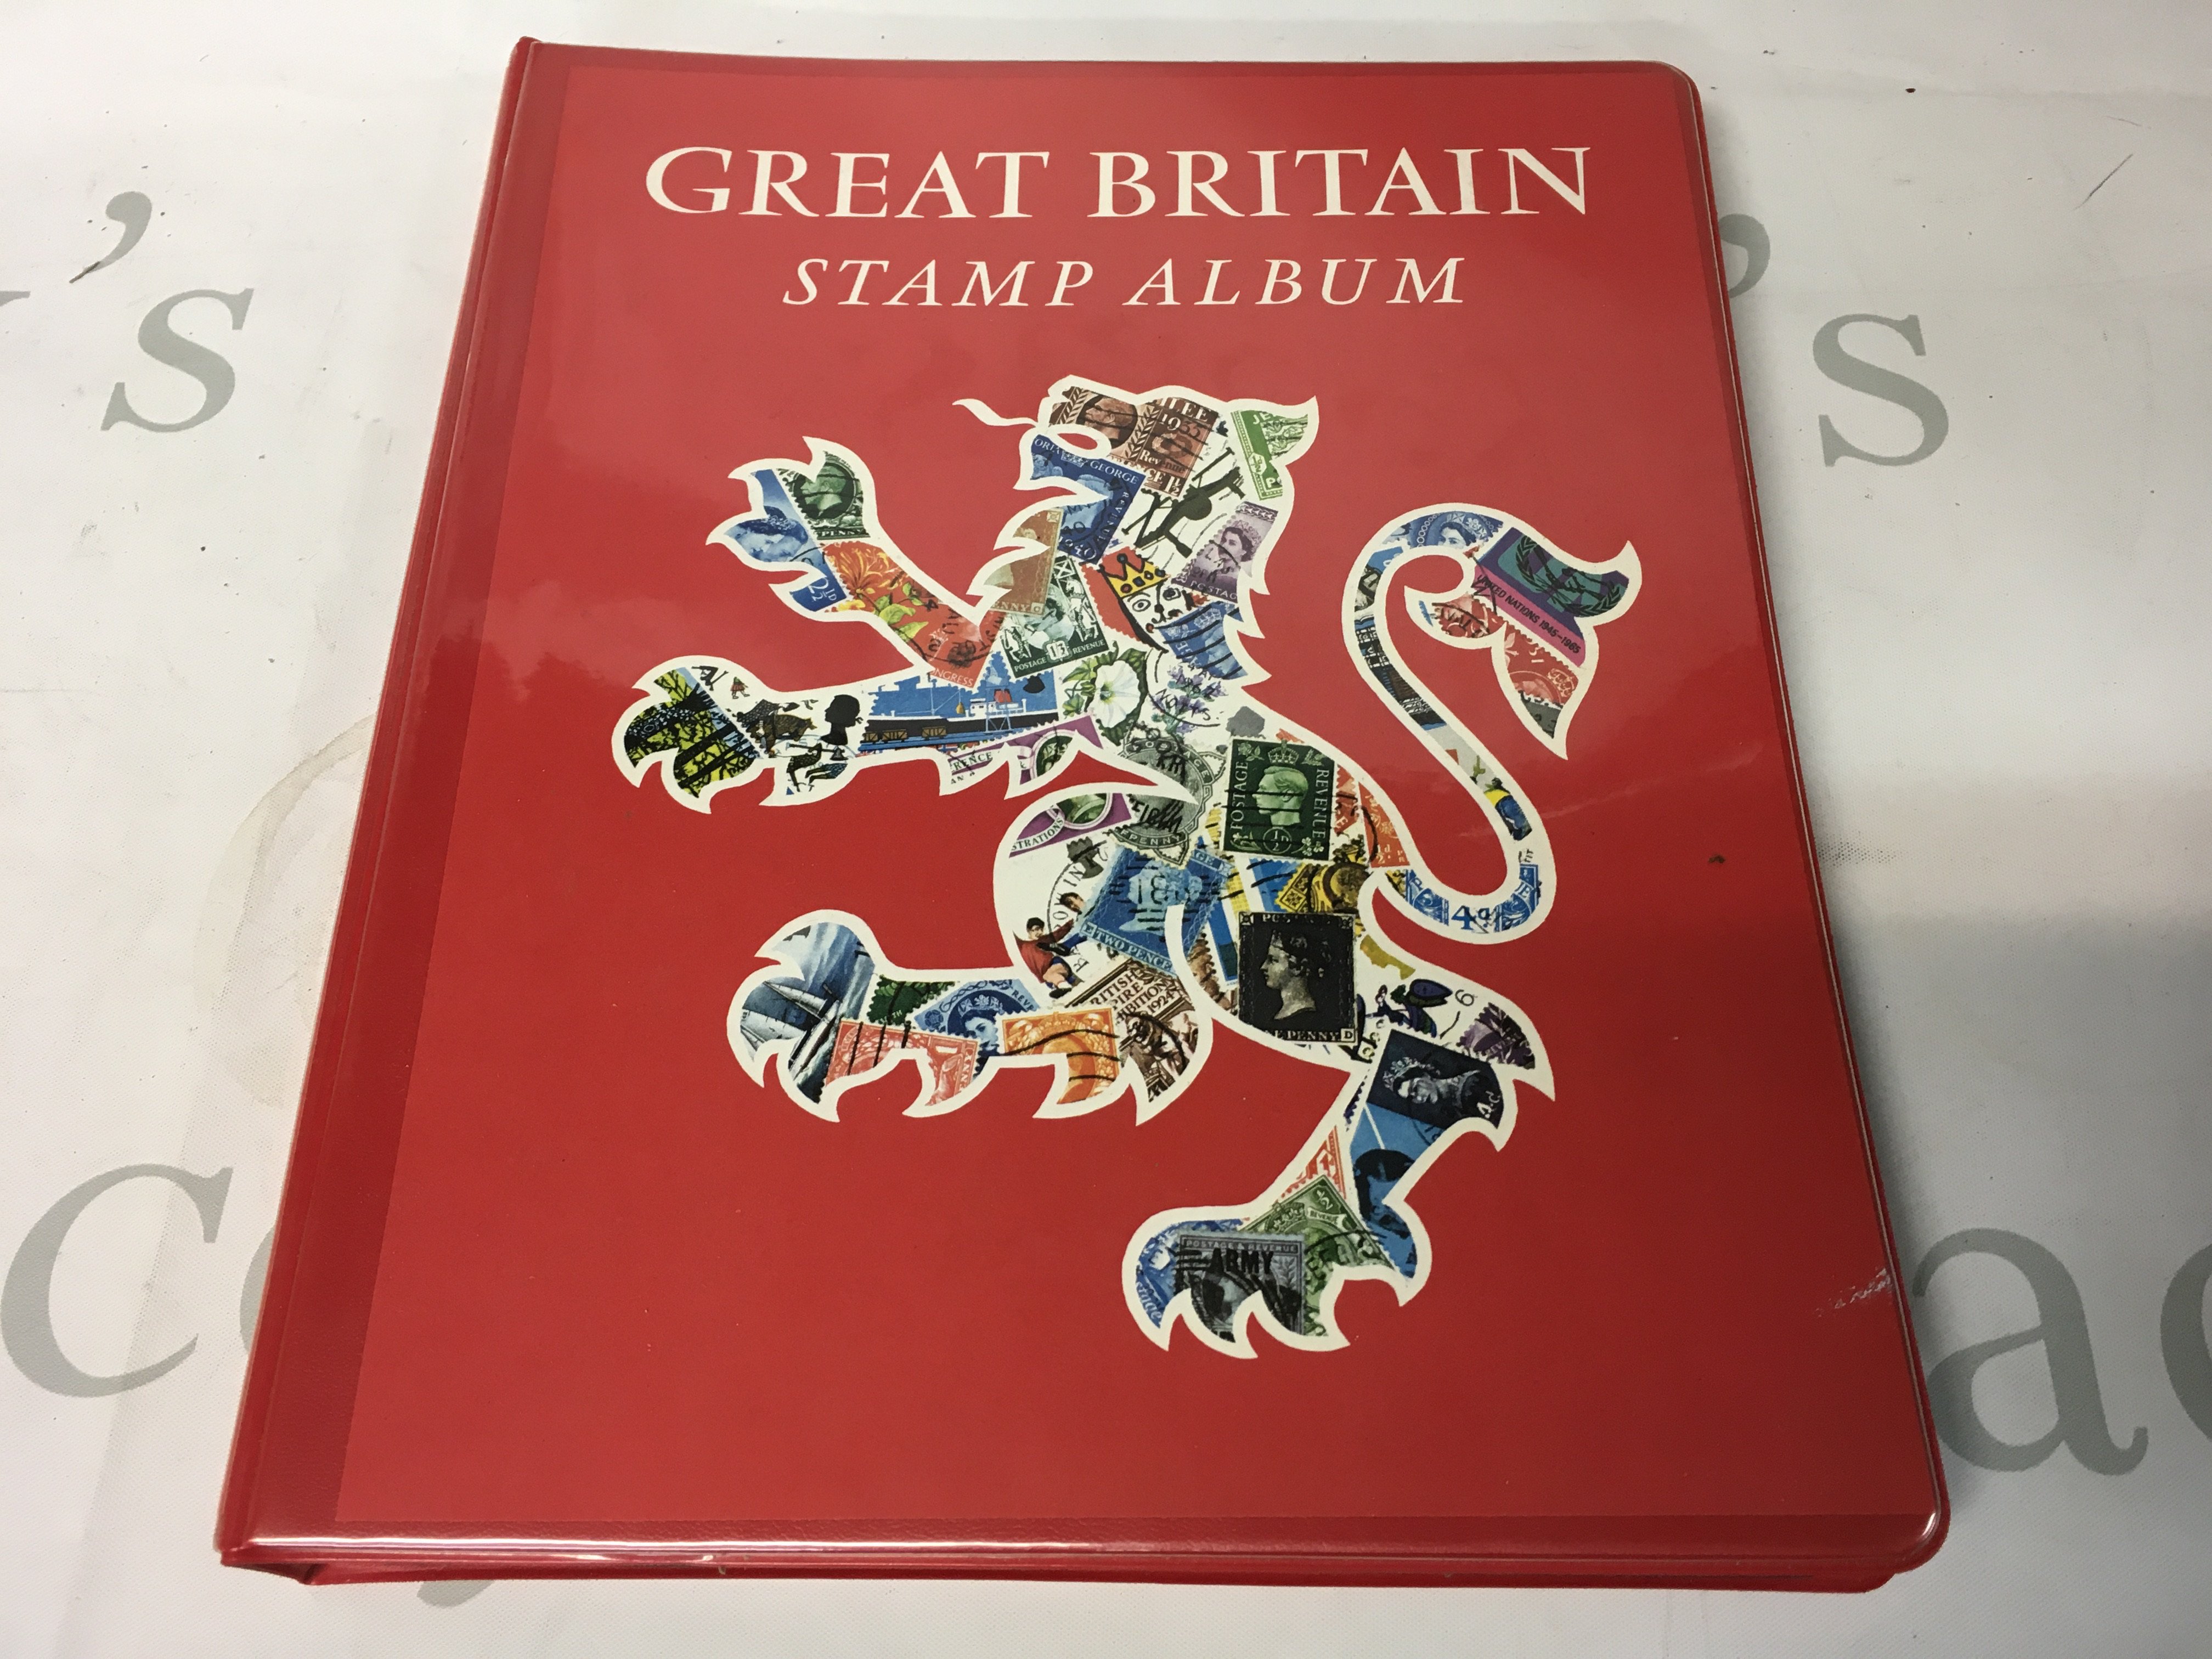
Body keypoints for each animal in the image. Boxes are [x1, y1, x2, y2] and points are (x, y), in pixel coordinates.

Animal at [614, 376, 1640, 1354]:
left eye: (1146, 415)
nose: (1057, 411)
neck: (1142, 577)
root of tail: (1377, 834)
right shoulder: (1030, 695)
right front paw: (799, 542)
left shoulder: (1020, 677)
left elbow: (903, 671)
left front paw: (738, 694)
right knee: (1070, 1003)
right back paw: (877, 1013)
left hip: (1256, 934)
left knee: (1438, 1033)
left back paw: (1279, 1239)